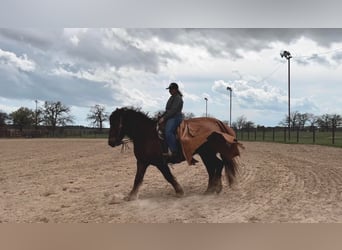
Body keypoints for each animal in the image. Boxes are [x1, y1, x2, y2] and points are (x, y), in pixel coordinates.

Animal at [107, 106, 240, 200]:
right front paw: (131, 196)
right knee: (216, 166)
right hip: (206, 154)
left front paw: (180, 191)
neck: (147, 135)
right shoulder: (142, 162)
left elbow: (169, 177)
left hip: (207, 154)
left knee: (216, 166)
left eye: (115, 123)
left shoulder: (160, 163)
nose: (111, 142)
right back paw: (213, 189)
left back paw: (213, 189)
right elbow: (137, 178)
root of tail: (216, 123)